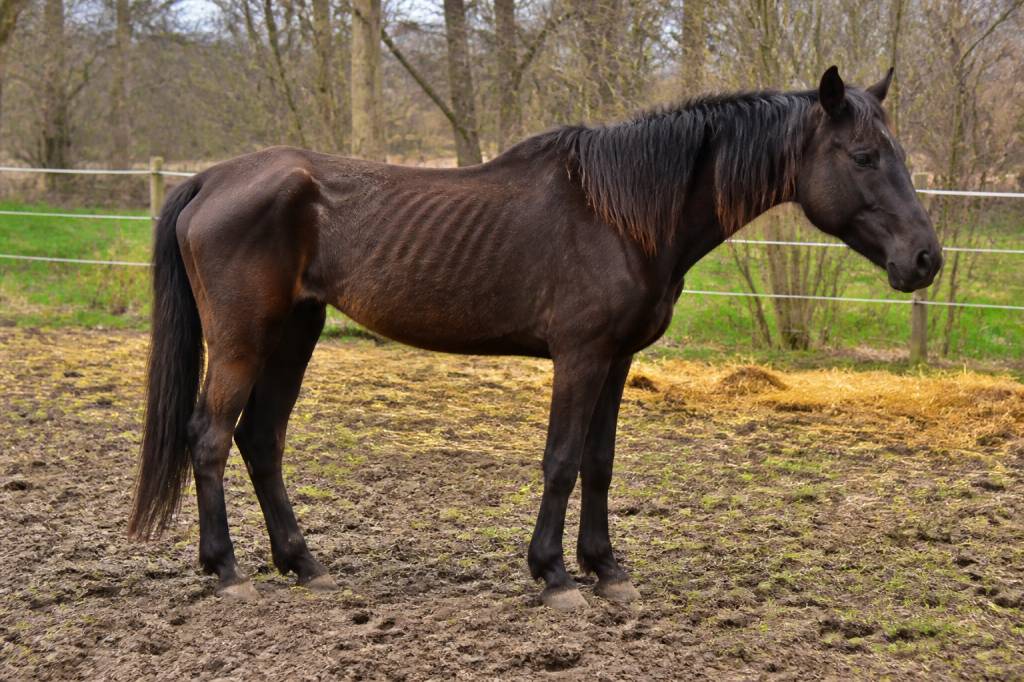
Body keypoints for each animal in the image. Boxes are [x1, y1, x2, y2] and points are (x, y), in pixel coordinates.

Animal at [128, 66, 941, 610]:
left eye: (899, 156)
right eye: (863, 158)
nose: (925, 259)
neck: (621, 213)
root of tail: (211, 179)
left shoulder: (616, 361)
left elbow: (599, 464)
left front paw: (606, 568)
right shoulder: (579, 358)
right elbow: (560, 461)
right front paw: (552, 575)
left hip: (295, 333)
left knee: (260, 439)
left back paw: (303, 562)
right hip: (243, 340)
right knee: (210, 436)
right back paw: (226, 569)